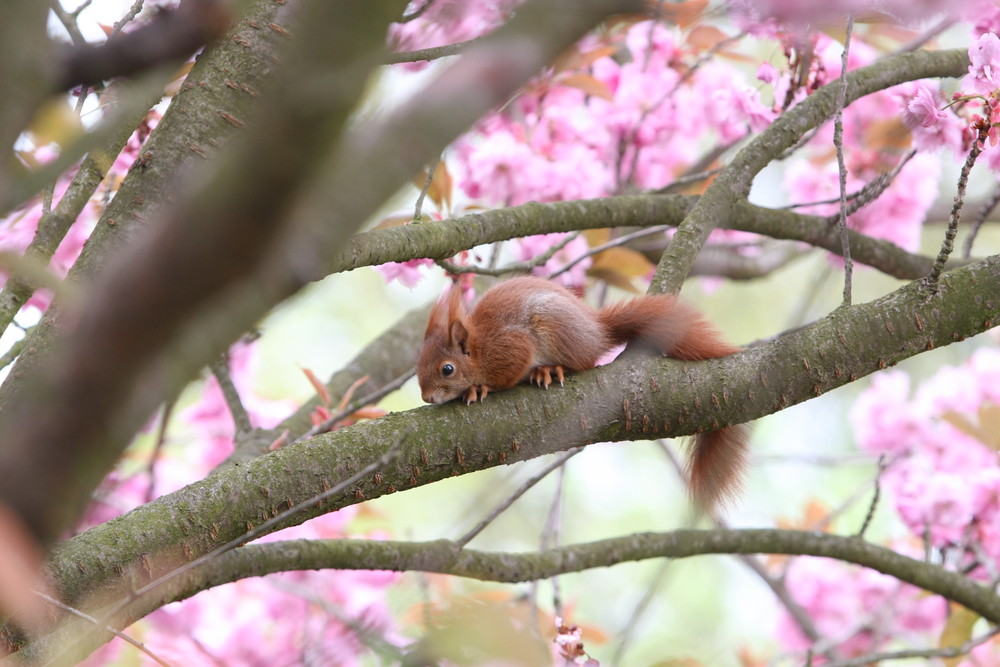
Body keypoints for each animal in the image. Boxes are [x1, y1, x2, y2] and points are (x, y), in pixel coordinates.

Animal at [416, 276, 752, 512]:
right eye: (418, 363)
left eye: (447, 369)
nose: (427, 397)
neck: (480, 348)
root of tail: (597, 332)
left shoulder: (512, 349)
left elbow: (506, 376)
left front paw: (479, 387)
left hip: (555, 329)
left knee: (584, 362)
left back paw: (549, 369)